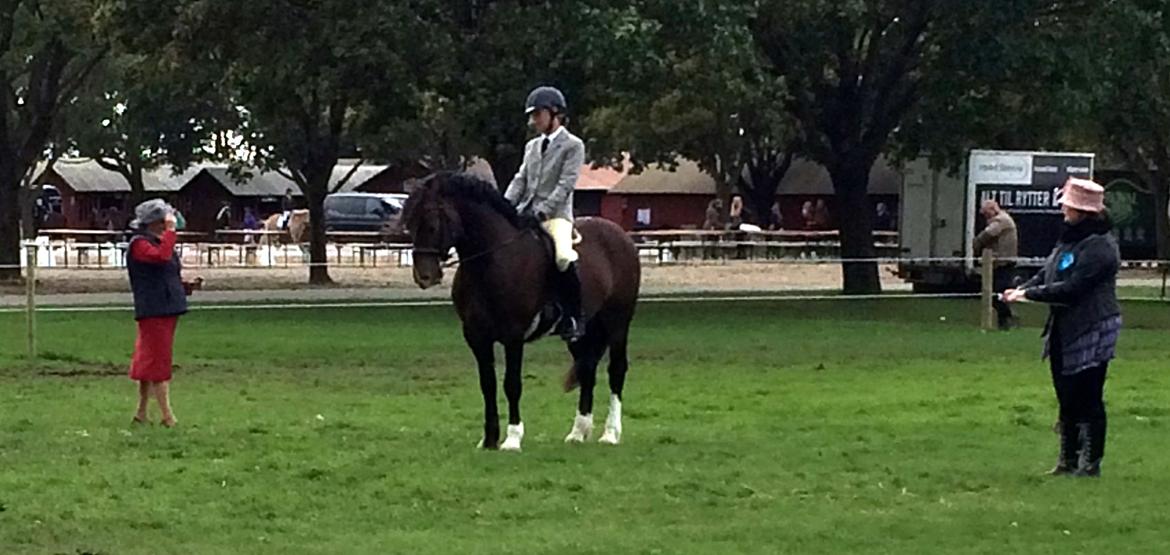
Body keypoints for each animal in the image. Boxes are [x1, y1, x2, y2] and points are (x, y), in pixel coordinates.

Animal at [402, 169, 641, 451]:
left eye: (431, 223)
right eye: (410, 224)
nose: (424, 277)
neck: (490, 262)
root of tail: (620, 234)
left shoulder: (513, 336)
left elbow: (512, 384)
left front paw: (512, 439)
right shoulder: (476, 337)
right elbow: (488, 384)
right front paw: (489, 439)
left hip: (617, 324)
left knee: (616, 370)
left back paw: (610, 434)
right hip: (581, 331)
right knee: (587, 369)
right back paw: (578, 433)